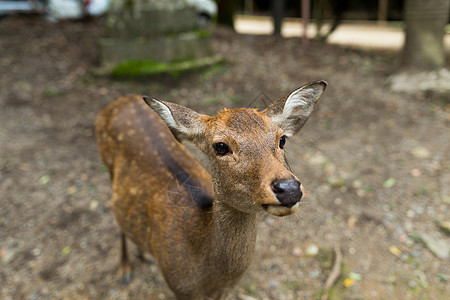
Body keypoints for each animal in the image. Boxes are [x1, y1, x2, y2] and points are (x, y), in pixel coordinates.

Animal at [96, 80, 326, 300]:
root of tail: (119, 100)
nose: (289, 188)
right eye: (221, 146)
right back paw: (124, 269)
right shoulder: (179, 287)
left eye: (282, 139)